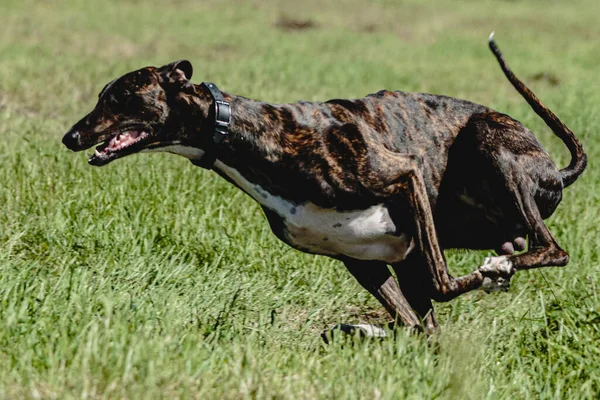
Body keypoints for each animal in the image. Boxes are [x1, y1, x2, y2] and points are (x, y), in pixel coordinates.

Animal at [62, 34, 584, 336]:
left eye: (121, 95)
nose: (71, 137)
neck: (248, 133)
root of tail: (555, 168)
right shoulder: (365, 260)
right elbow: (417, 328)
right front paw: (365, 332)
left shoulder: (404, 177)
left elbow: (442, 285)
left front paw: (490, 275)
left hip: (490, 142)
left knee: (552, 248)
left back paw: (501, 265)